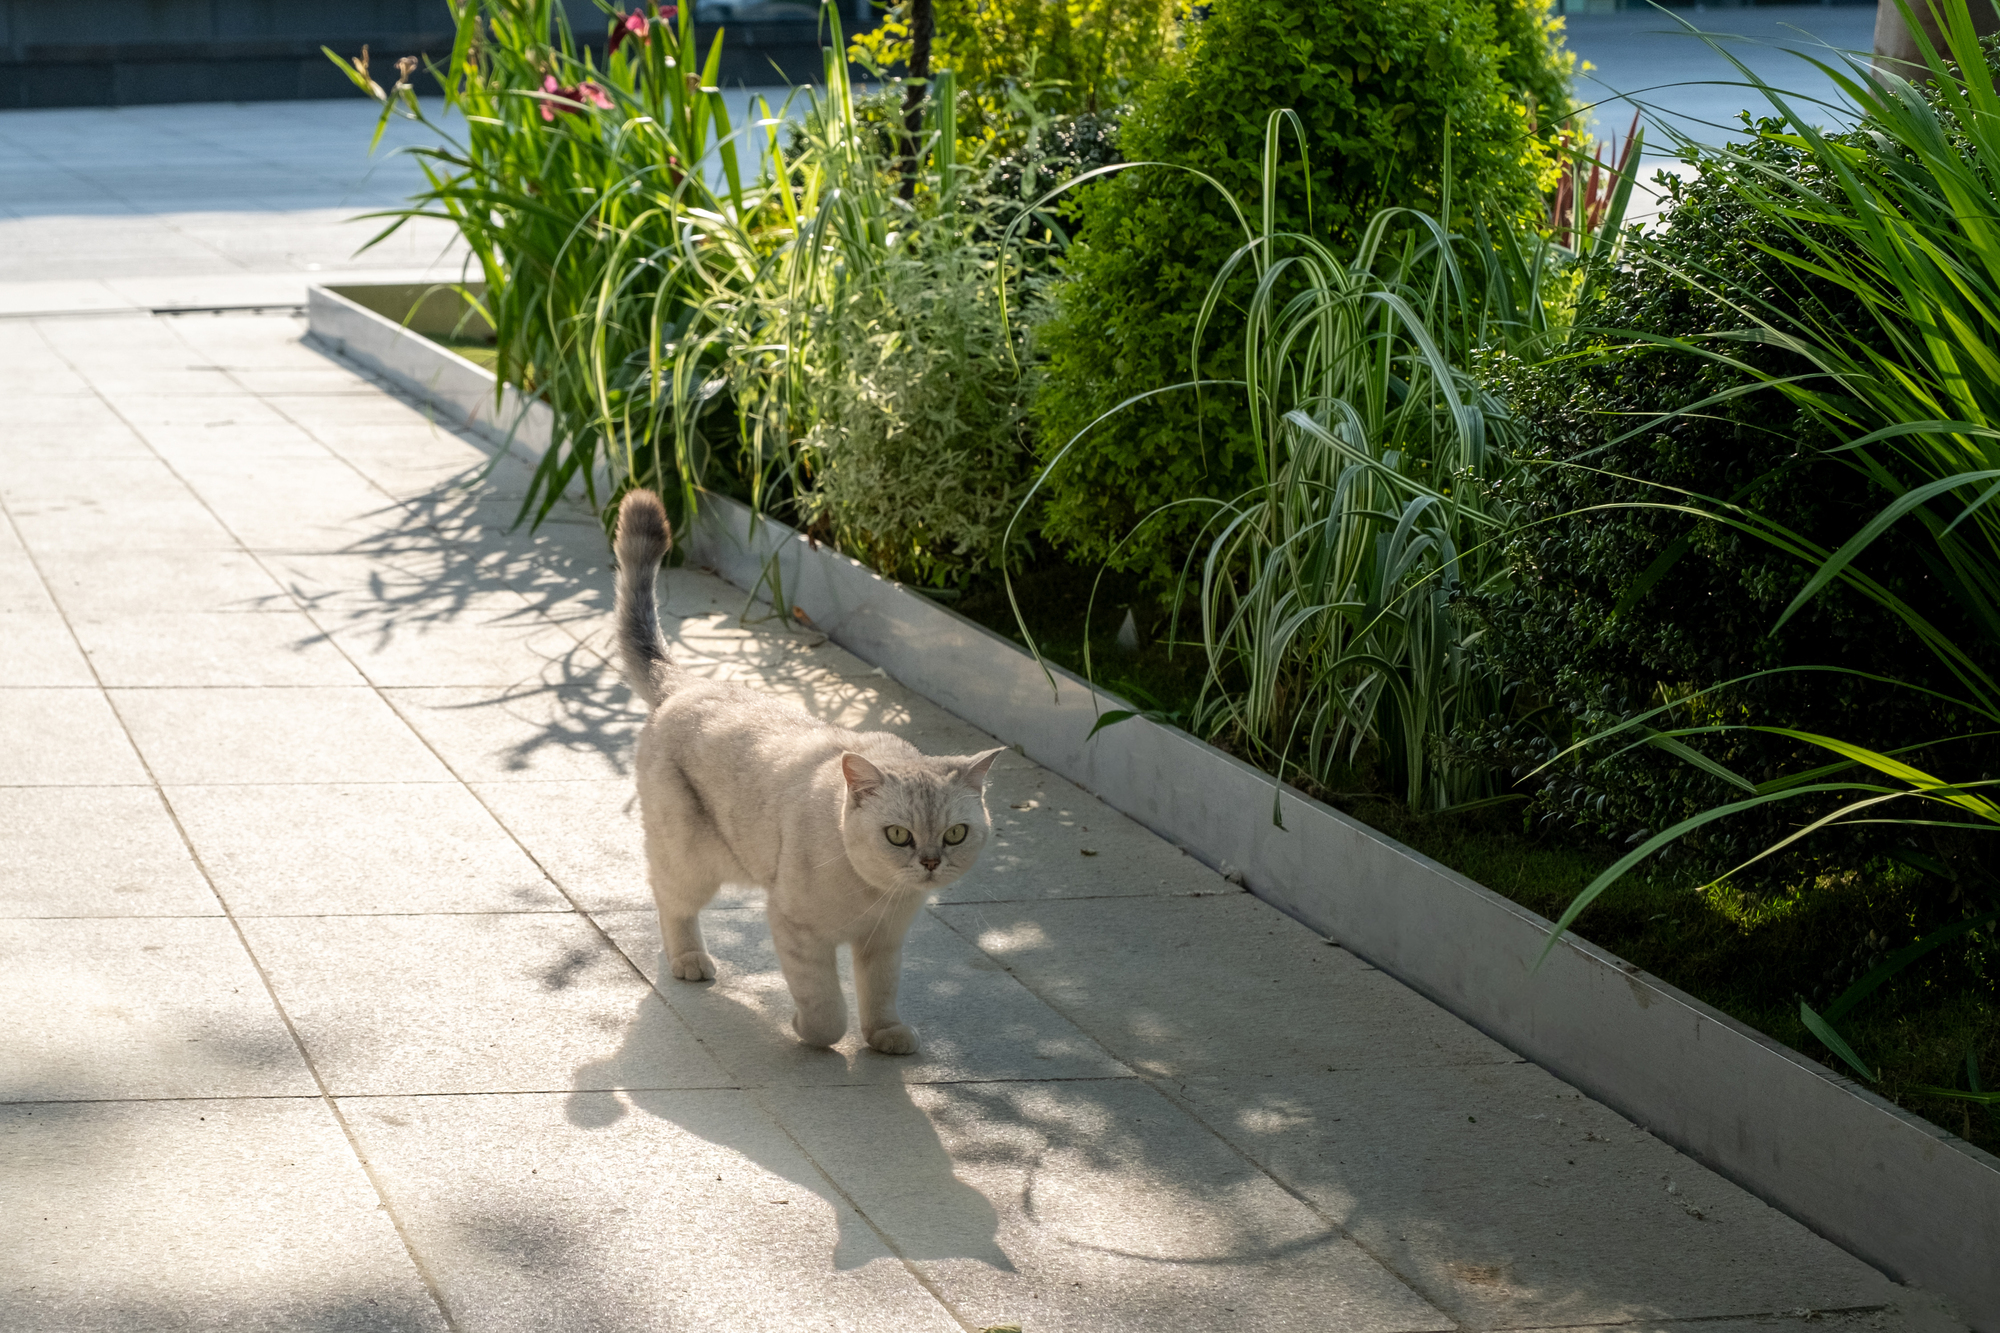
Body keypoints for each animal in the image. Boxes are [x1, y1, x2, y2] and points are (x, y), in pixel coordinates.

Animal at [608, 488, 1000, 1048]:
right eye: (898, 835)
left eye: (955, 834)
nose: (929, 863)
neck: (878, 897)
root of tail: (685, 682)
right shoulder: (797, 929)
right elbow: (826, 1010)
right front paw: (808, 1032)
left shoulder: (883, 945)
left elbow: (879, 995)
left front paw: (886, 1038)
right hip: (692, 860)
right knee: (669, 899)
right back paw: (689, 961)